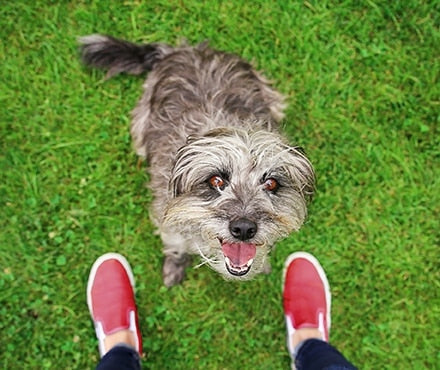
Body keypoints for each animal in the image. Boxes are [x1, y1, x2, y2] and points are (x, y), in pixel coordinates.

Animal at [80, 34, 316, 286]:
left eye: (271, 183)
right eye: (216, 181)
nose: (243, 229)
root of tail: (186, 50)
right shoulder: (168, 220)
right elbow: (175, 243)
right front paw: (174, 265)